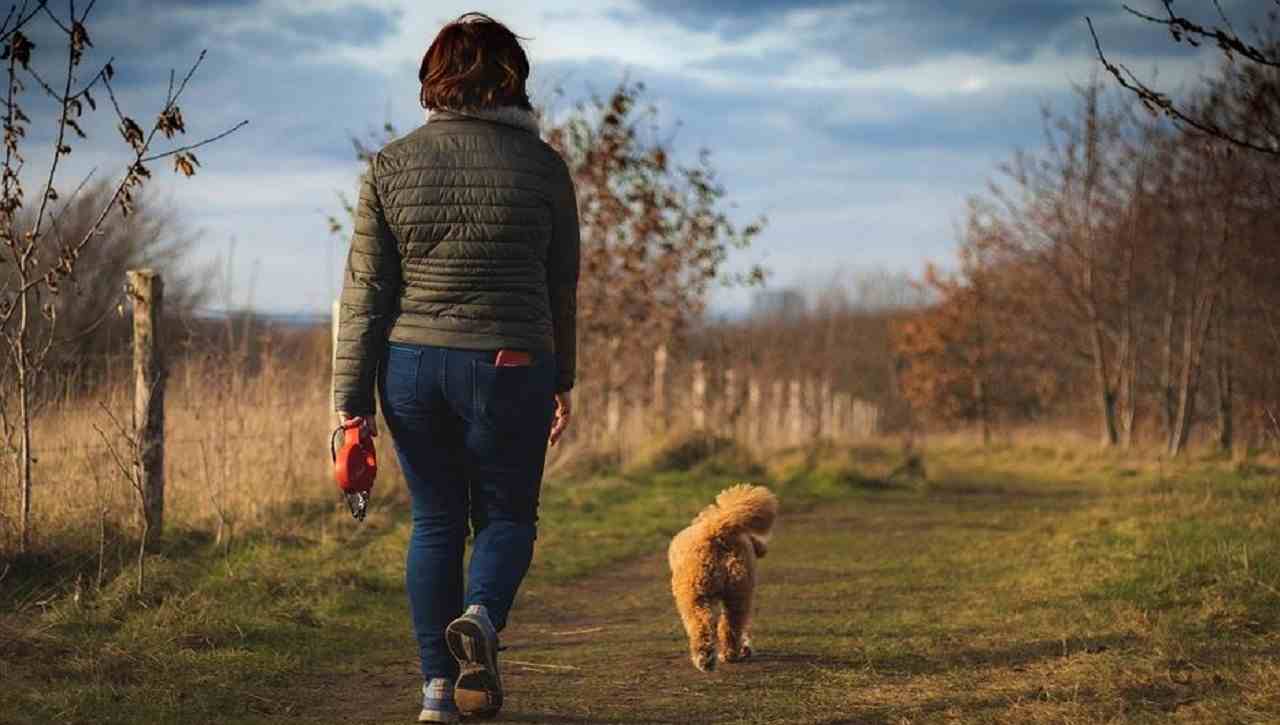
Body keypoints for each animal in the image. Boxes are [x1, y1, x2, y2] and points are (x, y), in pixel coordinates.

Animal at [670, 486, 778, 671]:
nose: (762, 548)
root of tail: (717, 530)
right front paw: (746, 649)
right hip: (738, 591)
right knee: (732, 624)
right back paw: (728, 654)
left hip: (694, 595)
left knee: (701, 626)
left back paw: (705, 658)